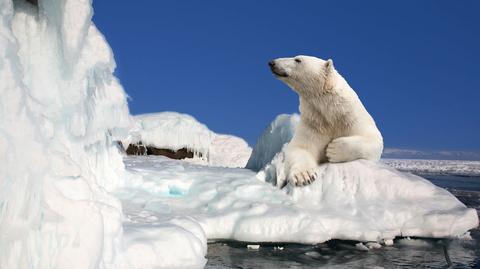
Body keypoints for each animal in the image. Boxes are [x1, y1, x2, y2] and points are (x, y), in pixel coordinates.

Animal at [268, 55, 384, 185]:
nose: (272, 63)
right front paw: (304, 176)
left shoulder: (351, 117)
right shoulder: (313, 123)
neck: (331, 114)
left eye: (298, 59)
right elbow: (301, 148)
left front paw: (333, 149)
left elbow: (374, 139)